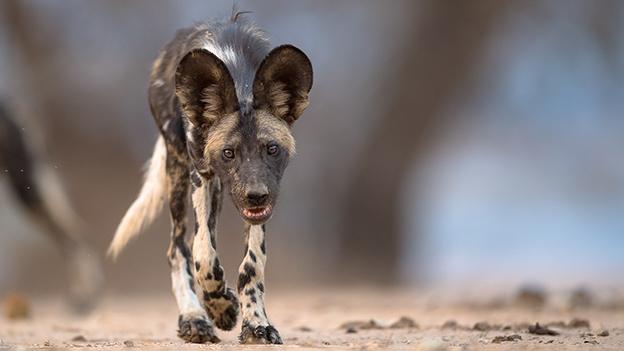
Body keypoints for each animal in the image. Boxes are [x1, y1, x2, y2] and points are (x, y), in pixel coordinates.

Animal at [108, 13, 312, 344]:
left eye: (272, 149)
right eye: (228, 153)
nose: (256, 195)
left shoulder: (260, 205)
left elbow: (252, 265)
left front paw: (256, 324)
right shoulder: (200, 175)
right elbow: (203, 255)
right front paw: (220, 306)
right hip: (179, 173)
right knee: (178, 248)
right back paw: (195, 317)